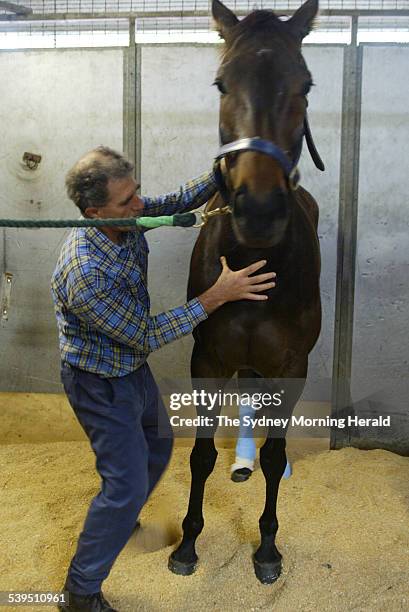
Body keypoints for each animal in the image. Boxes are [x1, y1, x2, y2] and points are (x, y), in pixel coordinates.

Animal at [167, 0, 324, 584]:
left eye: (304, 84)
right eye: (220, 83)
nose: (258, 210)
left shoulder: (292, 365)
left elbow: (276, 459)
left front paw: (268, 549)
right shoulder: (208, 359)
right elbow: (199, 457)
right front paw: (187, 545)